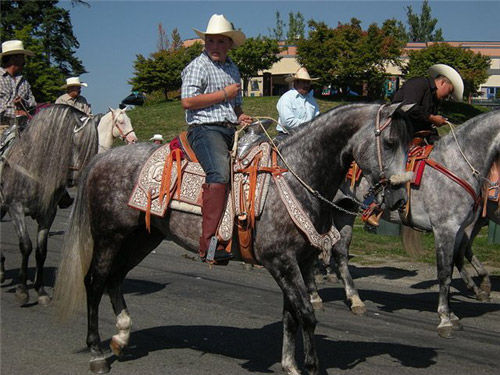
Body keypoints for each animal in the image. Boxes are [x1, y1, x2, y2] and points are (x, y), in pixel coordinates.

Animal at [0, 105, 98, 306]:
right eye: (81, 146)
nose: (88, 177)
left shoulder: (47, 214)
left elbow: (41, 251)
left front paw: (41, 290)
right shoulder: (16, 209)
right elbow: (26, 246)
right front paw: (22, 290)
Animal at [316, 110, 500, 340]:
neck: (457, 163)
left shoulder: (458, 230)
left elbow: (452, 267)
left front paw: (453, 315)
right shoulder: (445, 229)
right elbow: (444, 273)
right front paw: (445, 319)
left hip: (344, 210)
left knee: (340, 252)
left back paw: (355, 300)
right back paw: (315, 297)